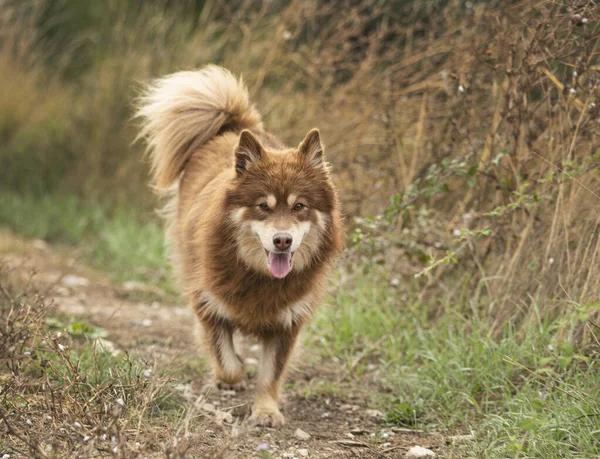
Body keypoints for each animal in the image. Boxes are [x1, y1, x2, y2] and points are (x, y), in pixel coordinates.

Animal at [136, 65, 342, 428]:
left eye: (300, 206)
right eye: (263, 206)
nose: (283, 240)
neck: (258, 276)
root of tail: (231, 128)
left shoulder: (287, 322)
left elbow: (271, 373)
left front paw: (267, 410)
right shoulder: (207, 301)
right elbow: (228, 362)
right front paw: (231, 377)